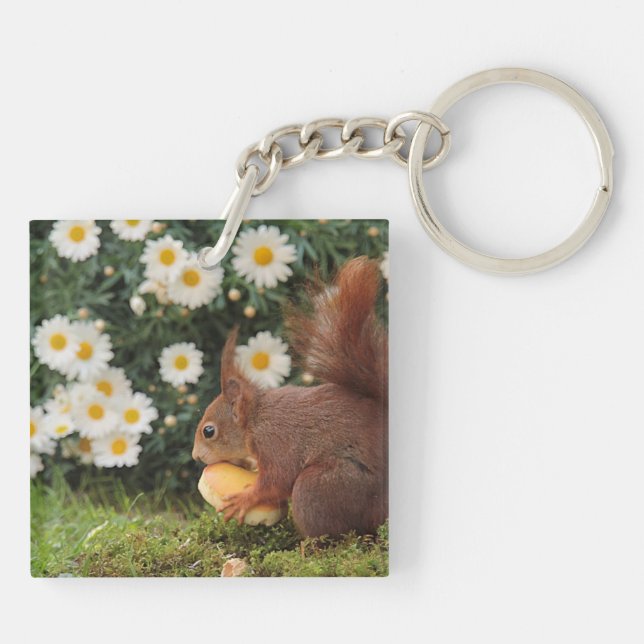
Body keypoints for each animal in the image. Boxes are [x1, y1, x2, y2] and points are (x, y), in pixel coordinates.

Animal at [191, 256, 388, 537]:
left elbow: (277, 480)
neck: (256, 420)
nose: (196, 457)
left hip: (322, 488)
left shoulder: (275, 442)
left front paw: (246, 499)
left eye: (209, 431)